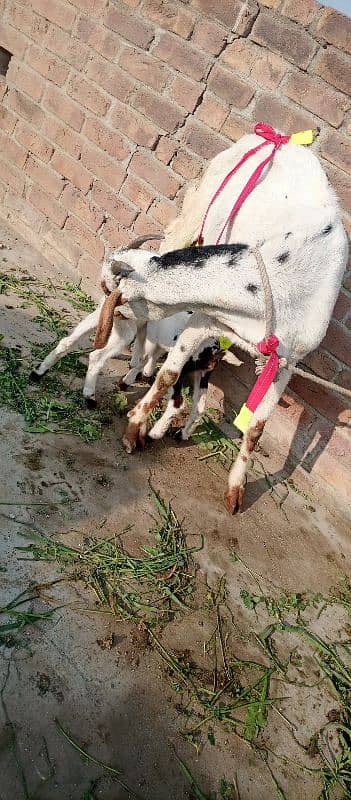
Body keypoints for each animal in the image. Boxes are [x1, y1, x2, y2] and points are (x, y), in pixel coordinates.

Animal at [102, 133, 350, 512]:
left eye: (119, 290)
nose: (104, 287)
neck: (280, 282)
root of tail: (275, 136)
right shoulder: (208, 318)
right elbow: (169, 375)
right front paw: (134, 432)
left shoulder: (288, 359)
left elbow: (258, 427)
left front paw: (236, 492)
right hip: (198, 207)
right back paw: (134, 369)